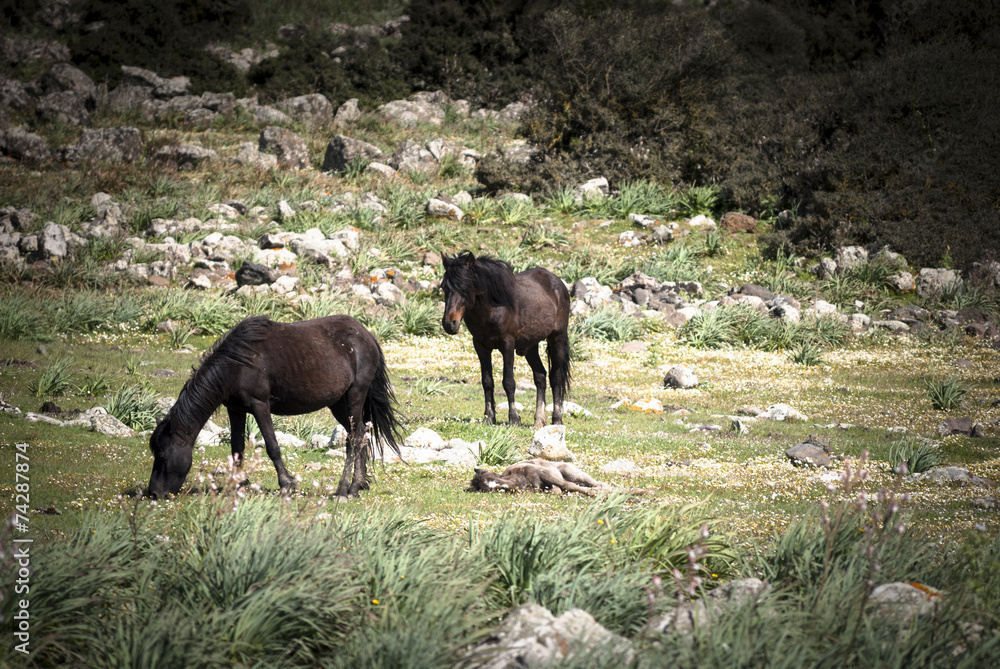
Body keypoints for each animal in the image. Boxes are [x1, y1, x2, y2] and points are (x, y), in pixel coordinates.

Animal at [147, 315, 402, 500]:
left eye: (162, 454)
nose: (154, 494)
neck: (236, 365)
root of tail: (367, 336)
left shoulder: (260, 406)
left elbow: (272, 447)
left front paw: (287, 485)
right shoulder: (236, 410)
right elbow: (237, 448)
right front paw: (237, 484)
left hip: (355, 396)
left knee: (354, 440)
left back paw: (344, 490)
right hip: (339, 405)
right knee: (359, 434)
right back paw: (358, 485)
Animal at [441, 250, 571, 428]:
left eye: (465, 287)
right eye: (444, 287)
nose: (449, 323)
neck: (492, 308)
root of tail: (558, 283)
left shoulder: (507, 344)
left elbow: (509, 382)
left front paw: (514, 418)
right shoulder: (480, 346)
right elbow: (487, 381)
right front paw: (489, 417)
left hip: (556, 338)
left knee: (555, 377)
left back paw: (556, 419)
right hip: (531, 346)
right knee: (540, 377)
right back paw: (539, 420)